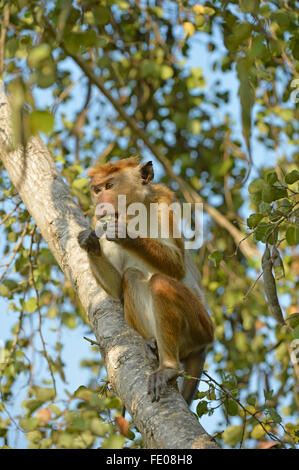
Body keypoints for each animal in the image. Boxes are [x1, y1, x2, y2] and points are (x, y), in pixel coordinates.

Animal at [77, 157, 213, 404]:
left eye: (109, 186)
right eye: (97, 189)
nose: (100, 202)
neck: (132, 214)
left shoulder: (163, 203)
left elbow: (177, 264)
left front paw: (124, 234)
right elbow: (117, 289)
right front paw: (89, 241)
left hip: (201, 324)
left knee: (160, 282)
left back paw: (168, 367)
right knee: (131, 277)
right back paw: (152, 342)